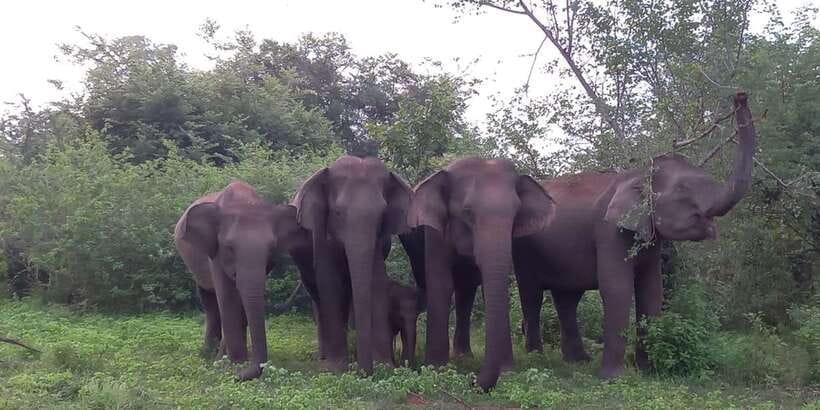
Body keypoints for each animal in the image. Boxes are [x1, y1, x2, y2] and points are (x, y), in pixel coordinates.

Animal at [174, 180, 310, 381]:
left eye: (271, 248)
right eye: (229, 247)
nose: (237, 377)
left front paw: (235, 362)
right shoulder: (215, 252)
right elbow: (229, 297)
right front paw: (234, 363)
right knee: (208, 298)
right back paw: (208, 353)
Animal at [292, 155, 413, 374]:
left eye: (382, 215)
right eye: (338, 212)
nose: (364, 372)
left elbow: (377, 282)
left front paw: (385, 367)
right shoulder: (321, 235)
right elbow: (329, 283)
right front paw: (336, 368)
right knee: (318, 297)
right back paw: (323, 358)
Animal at [406, 157, 554, 391]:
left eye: (516, 213)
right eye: (467, 211)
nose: (473, 380)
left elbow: (488, 287)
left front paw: (508, 372)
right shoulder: (434, 232)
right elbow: (441, 283)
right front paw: (436, 369)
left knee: (465, 294)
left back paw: (464, 357)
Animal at [512, 92, 757, 379]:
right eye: (684, 190)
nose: (740, 96)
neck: (638, 175)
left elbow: (652, 291)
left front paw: (648, 372)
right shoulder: (608, 230)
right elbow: (617, 289)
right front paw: (610, 378)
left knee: (567, 298)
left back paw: (577, 362)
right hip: (523, 248)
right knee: (532, 295)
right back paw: (537, 359)